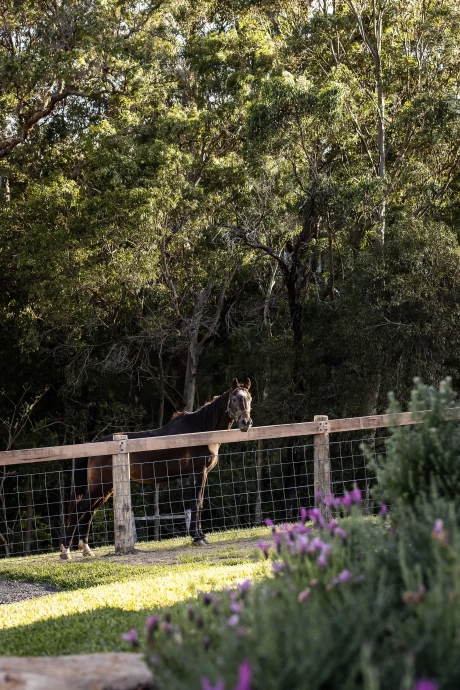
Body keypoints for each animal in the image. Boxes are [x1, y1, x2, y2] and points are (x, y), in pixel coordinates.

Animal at [59, 378, 253, 556]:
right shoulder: (198, 473)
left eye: (249, 398)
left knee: (89, 512)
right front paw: (197, 537)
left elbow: (199, 503)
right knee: (79, 510)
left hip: (105, 489)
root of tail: (93, 446)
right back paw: (66, 551)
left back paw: (86, 549)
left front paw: (201, 536)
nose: (246, 422)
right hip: (99, 487)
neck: (200, 432)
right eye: (234, 399)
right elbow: (196, 503)